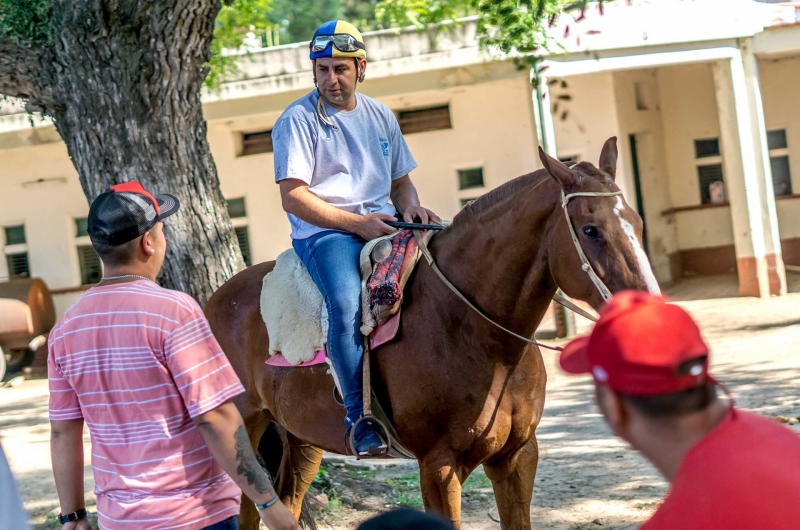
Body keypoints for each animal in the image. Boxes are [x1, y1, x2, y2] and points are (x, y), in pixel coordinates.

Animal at [205, 138, 656, 524]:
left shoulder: (517, 458)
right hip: (243, 429)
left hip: (301, 440)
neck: (475, 333)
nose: (648, 310)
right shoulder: (439, 467)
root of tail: (212, 303)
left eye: (636, 221)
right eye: (591, 230)